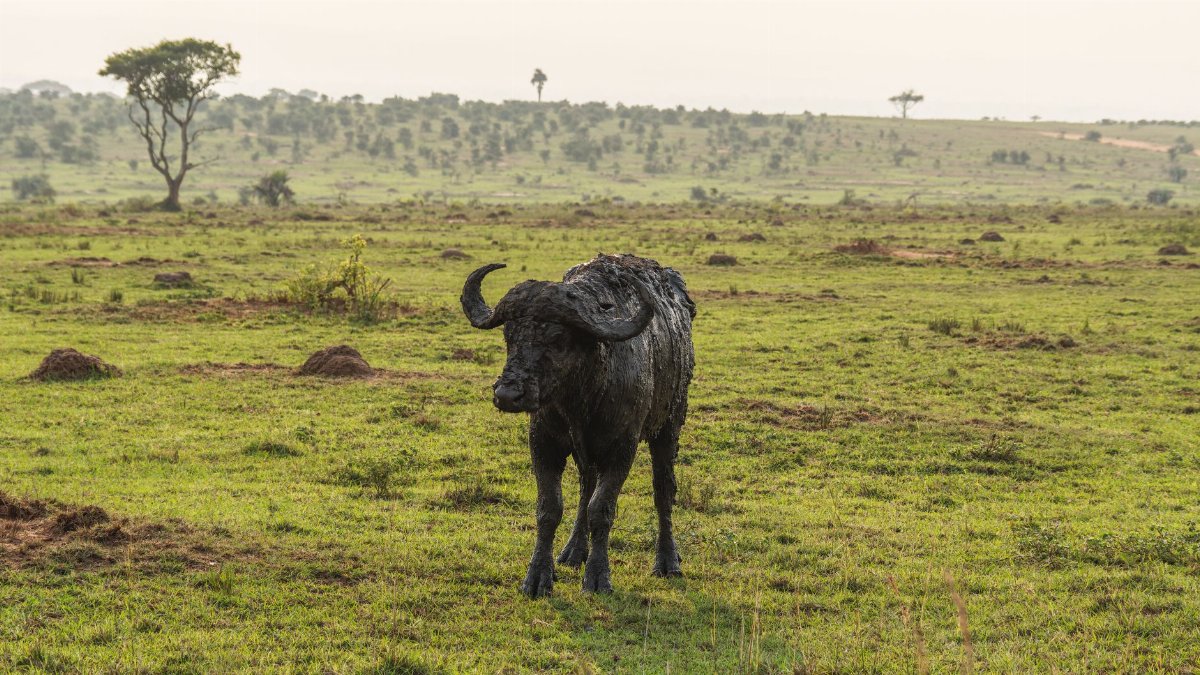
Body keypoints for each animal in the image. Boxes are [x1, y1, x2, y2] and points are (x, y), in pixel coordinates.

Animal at [461, 253, 695, 597]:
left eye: (557, 338)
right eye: (509, 335)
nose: (507, 394)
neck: (582, 399)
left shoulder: (621, 449)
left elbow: (602, 509)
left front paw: (598, 577)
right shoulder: (543, 443)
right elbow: (550, 508)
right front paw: (538, 576)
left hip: (669, 425)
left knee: (663, 489)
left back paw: (667, 560)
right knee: (586, 486)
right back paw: (573, 551)